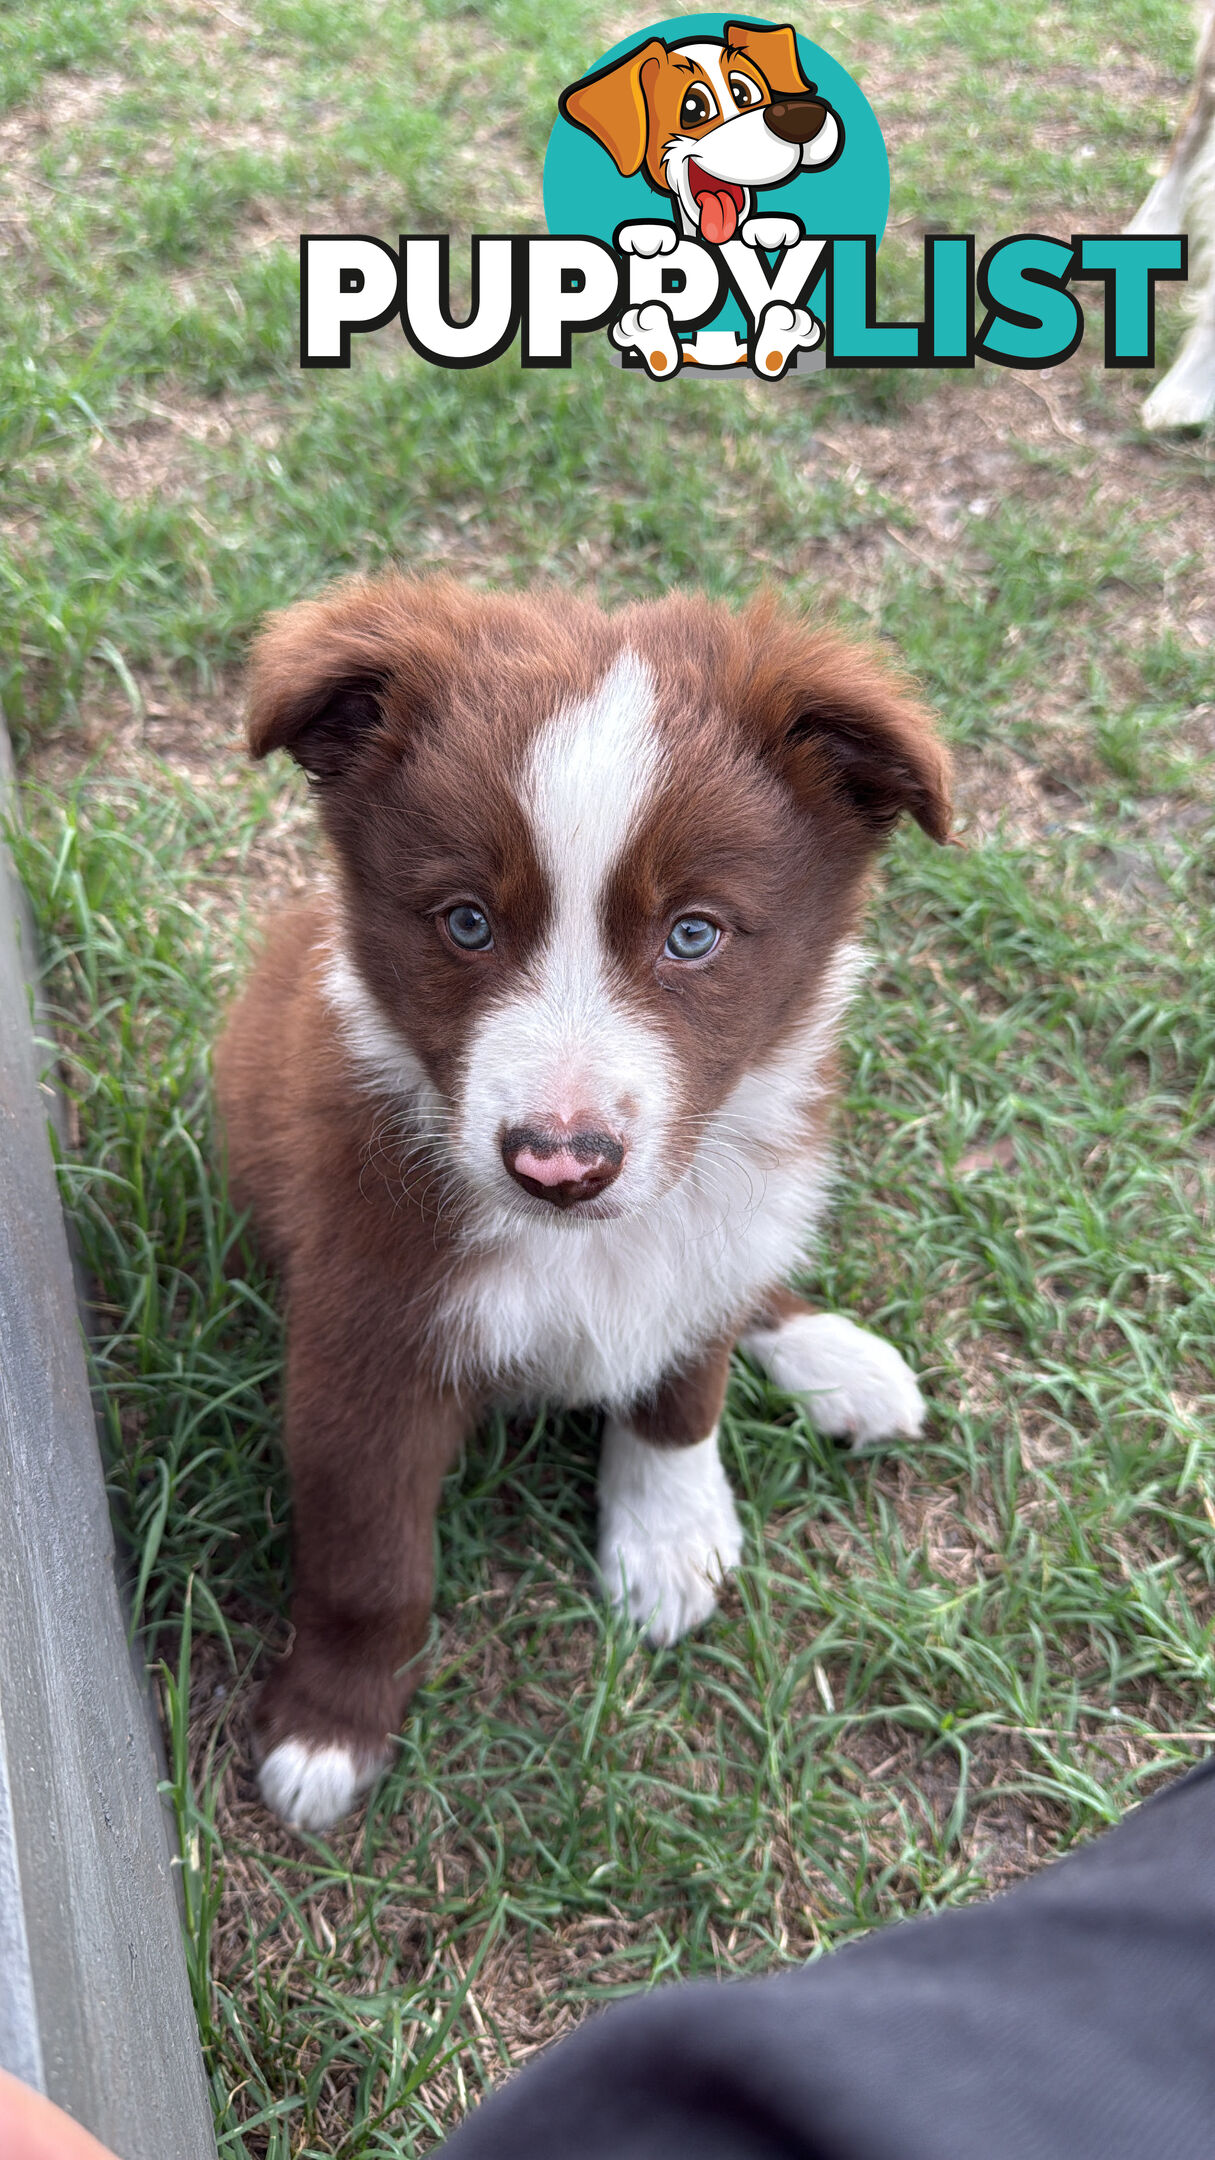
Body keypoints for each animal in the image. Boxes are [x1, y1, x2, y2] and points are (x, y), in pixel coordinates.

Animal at [219, 574, 955, 1823]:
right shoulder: (364, 1340)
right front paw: (329, 1727)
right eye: (466, 921)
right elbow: (371, 1560)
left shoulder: (697, 1242)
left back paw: (835, 1360)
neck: (581, 1244)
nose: (559, 1162)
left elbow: (682, 1393)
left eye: (695, 934)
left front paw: (667, 1538)